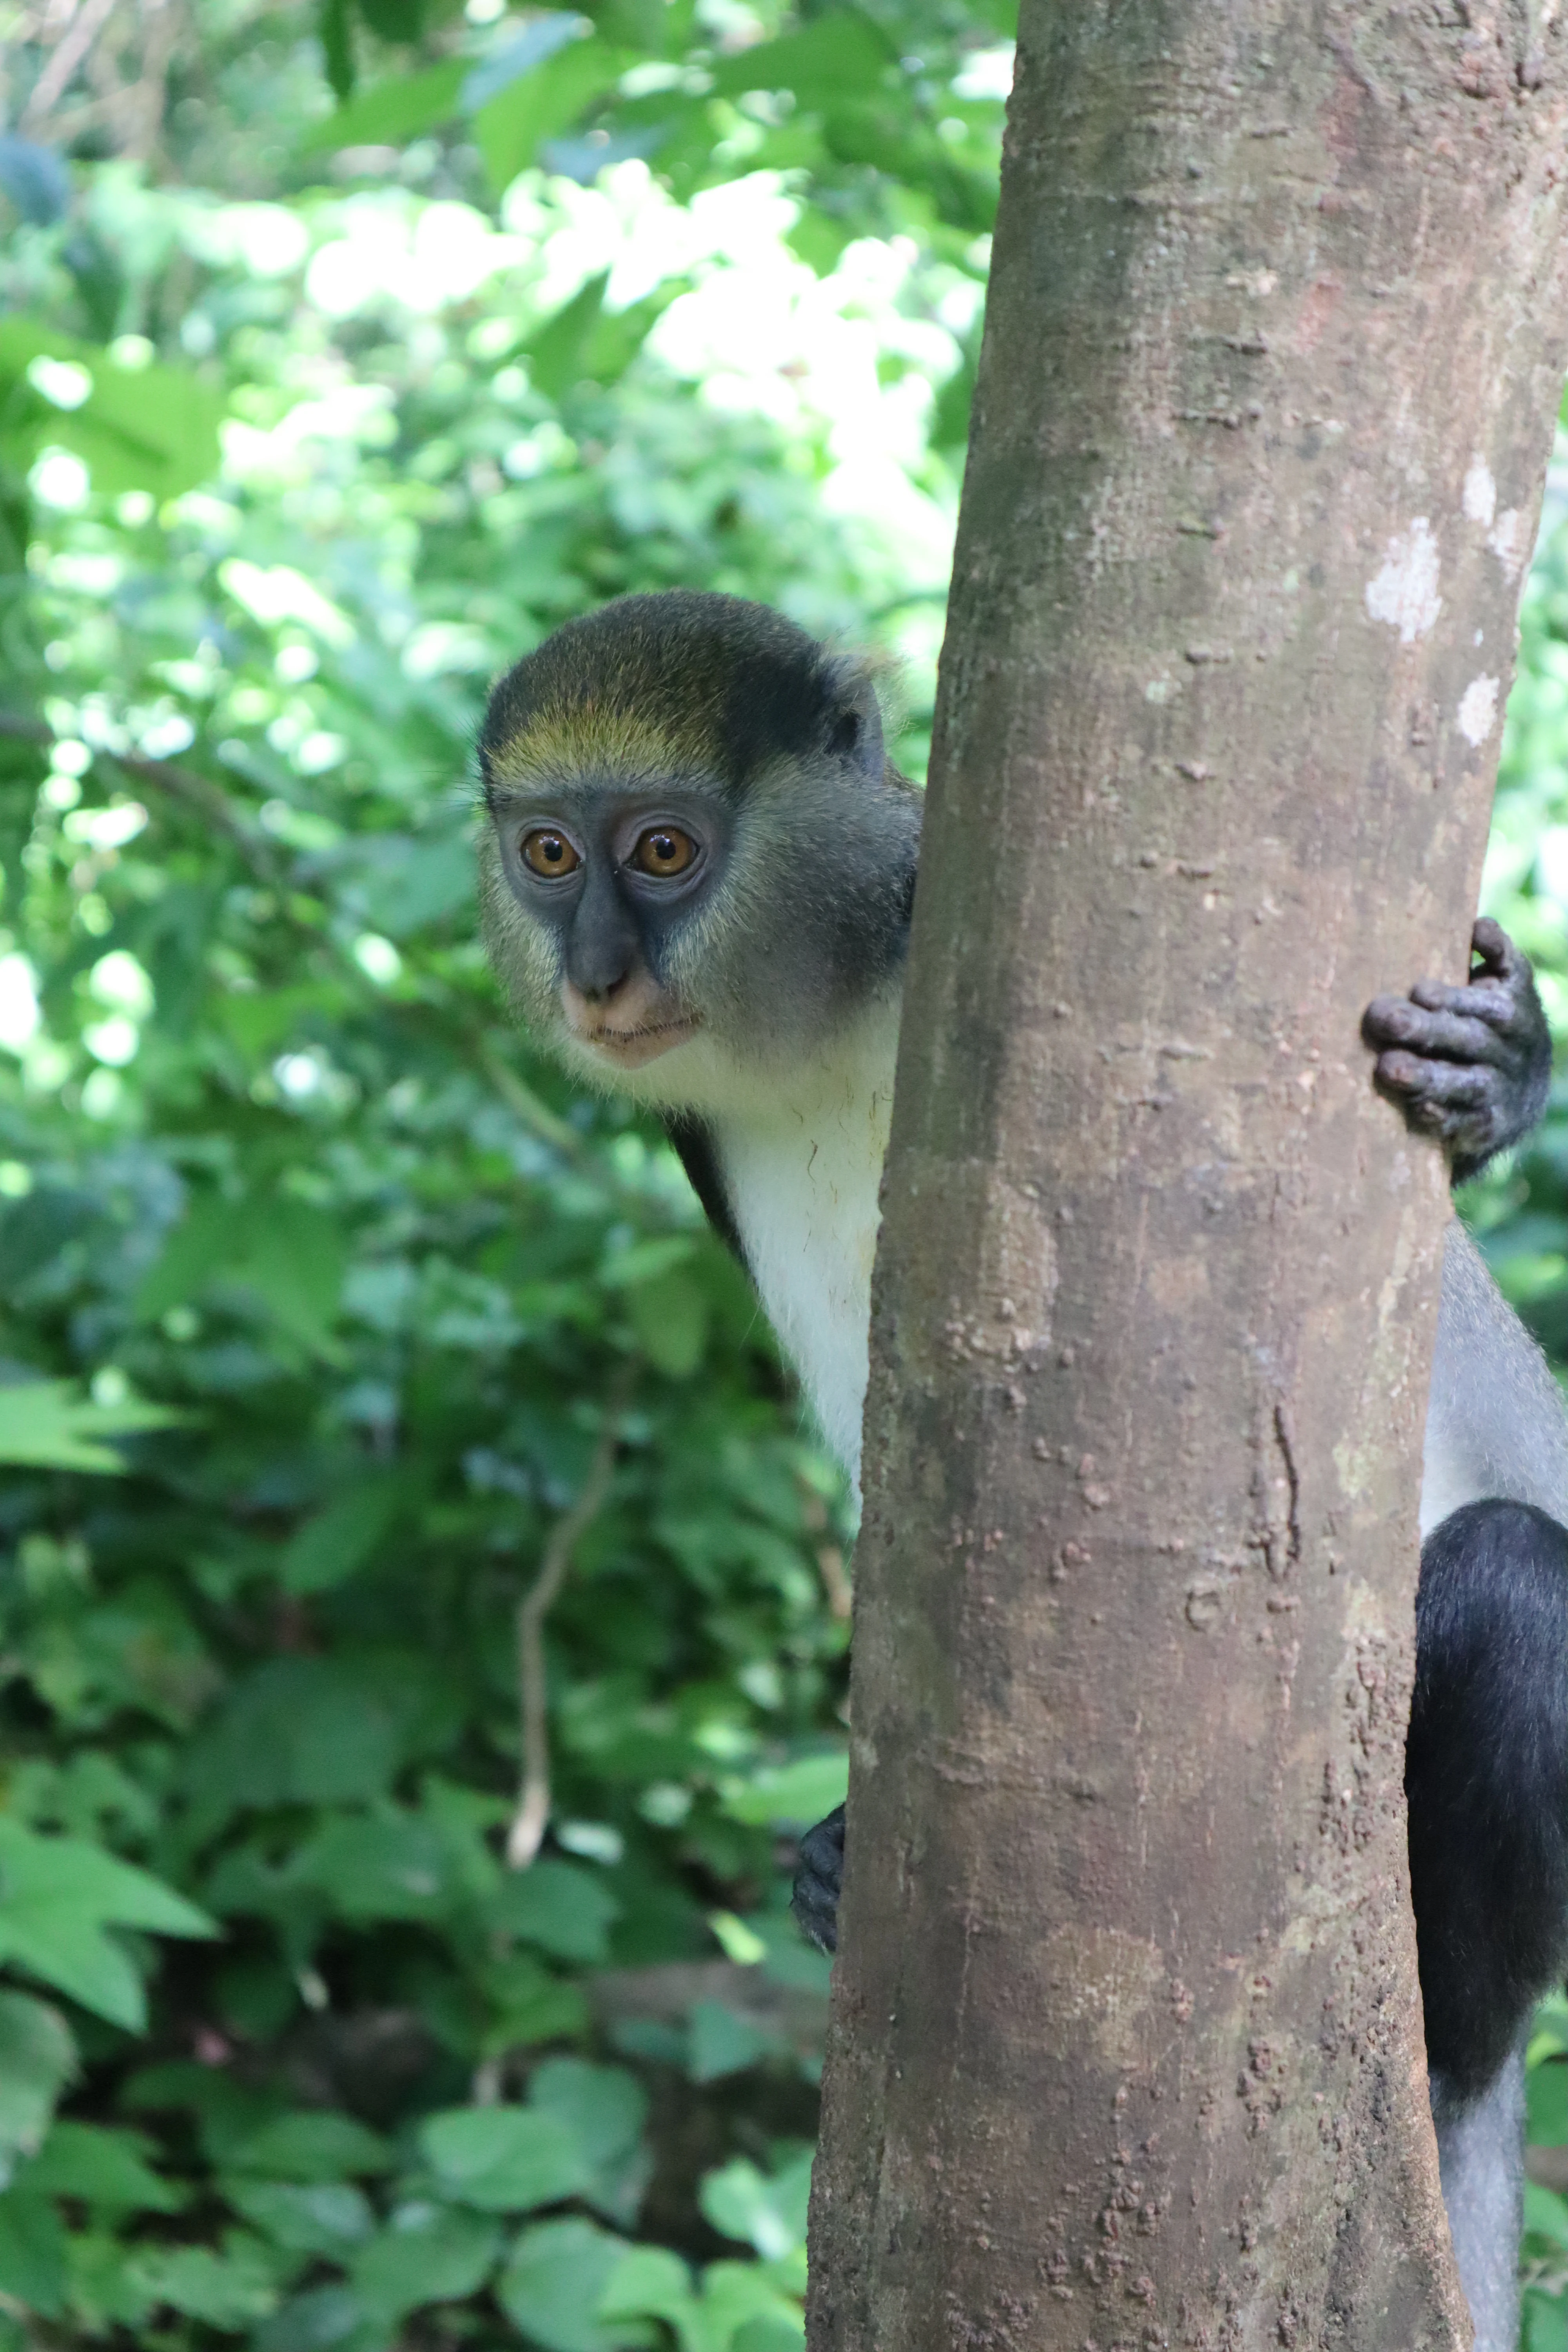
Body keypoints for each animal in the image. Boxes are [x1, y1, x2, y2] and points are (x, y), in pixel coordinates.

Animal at [478, 589, 1567, 2352]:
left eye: (663, 851)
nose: (592, 977)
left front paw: (1499, 1077)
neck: (823, 1001)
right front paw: (833, 1848)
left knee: (1516, 1583)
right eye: (549, 857)